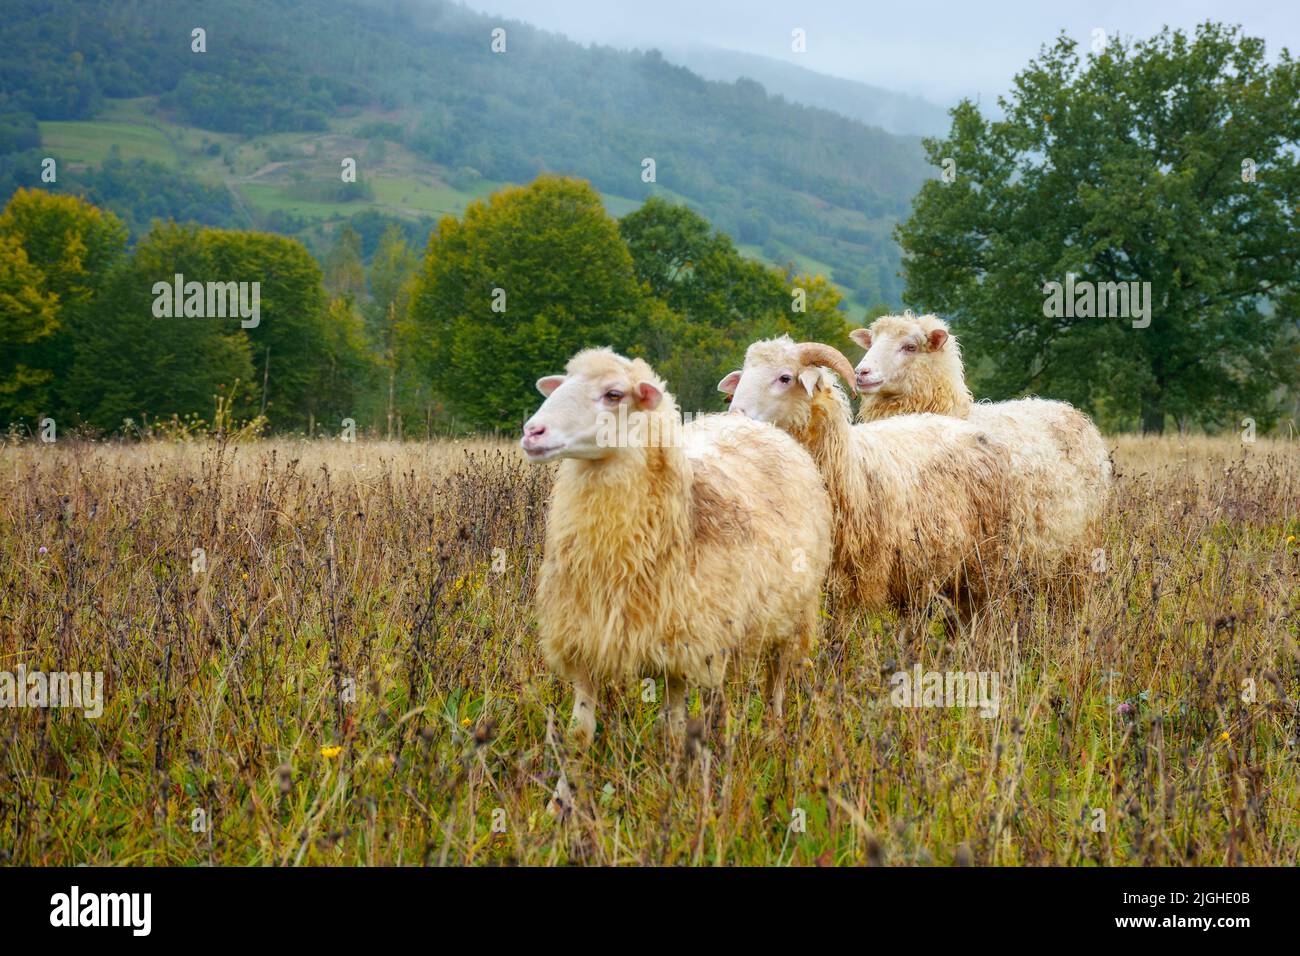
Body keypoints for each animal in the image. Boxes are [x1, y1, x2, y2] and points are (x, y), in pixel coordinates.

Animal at [521, 347, 833, 747]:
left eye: (613, 394)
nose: (532, 432)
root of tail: (756, 425)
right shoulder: (585, 638)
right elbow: (580, 731)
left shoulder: (682, 649)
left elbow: (670, 731)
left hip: (795, 615)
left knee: (776, 680)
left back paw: (771, 731)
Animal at [719, 337, 1013, 616]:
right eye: (743, 376)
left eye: (785, 378)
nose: (734, 415)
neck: (852, 469)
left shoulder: (858, 583)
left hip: (984, 567)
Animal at [850, 313, 1112, 576]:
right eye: (872, 342)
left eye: (910, 347)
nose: (861, 373)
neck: (959, 414)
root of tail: (1069, 409)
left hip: (1084, 539)